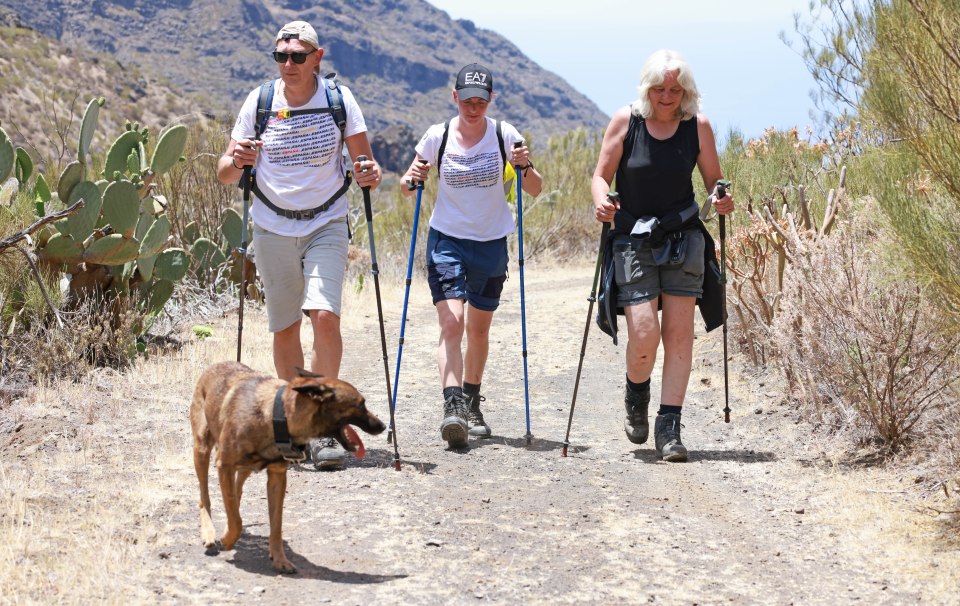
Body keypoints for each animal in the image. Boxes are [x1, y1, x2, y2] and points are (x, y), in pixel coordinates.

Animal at [189, 360, 384, 576]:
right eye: (361, 404)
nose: (383, 426)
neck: (277, 417)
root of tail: (216, 365)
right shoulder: (224, 465)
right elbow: (236, 519)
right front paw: (228, 540)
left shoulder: (277, 476)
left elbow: (276, 524)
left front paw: (280, 559)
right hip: (202, 449)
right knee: (205, 496)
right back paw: (209, 532)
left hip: (244, 468)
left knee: (236, 492)